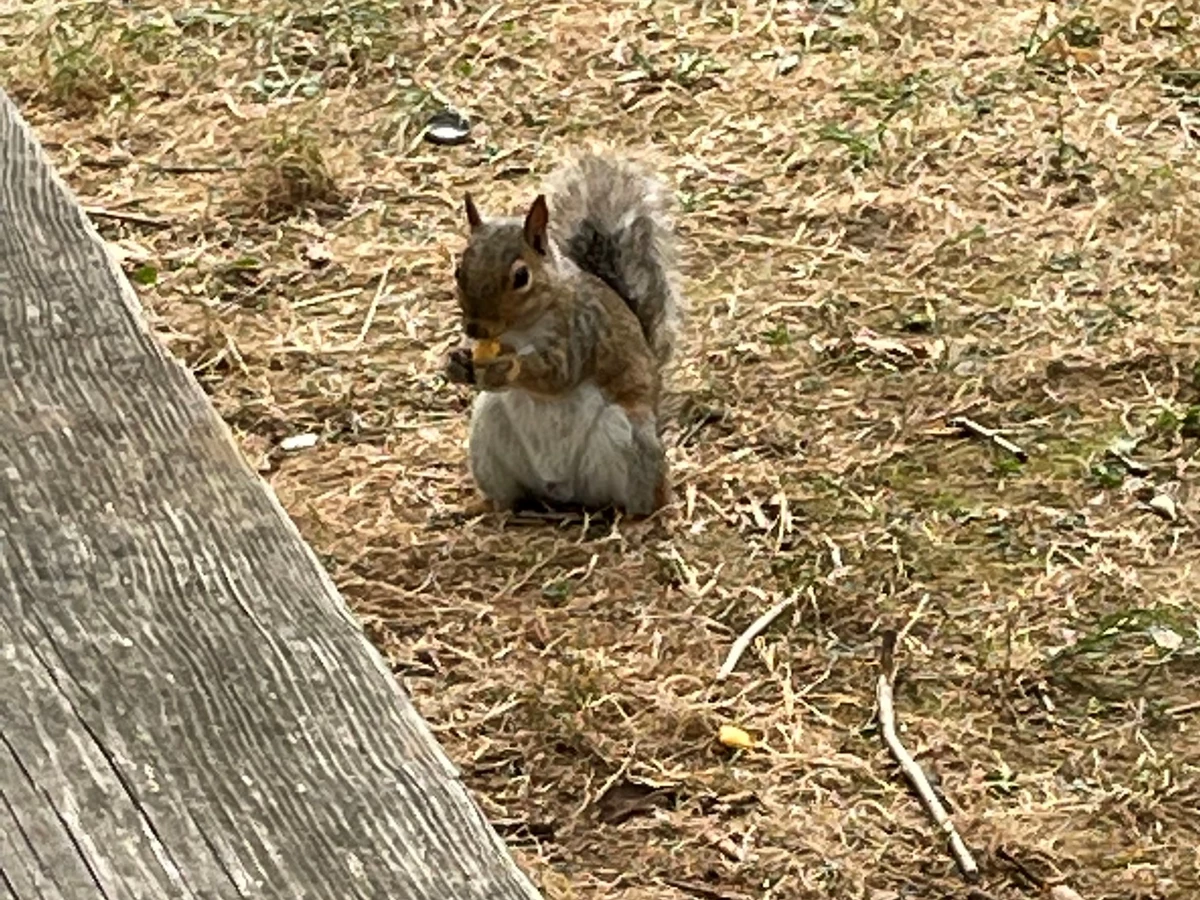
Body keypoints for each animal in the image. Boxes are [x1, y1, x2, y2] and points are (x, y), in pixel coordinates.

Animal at [441, 151, 686, 518]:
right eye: (458, 270)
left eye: (521, 276)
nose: (474, 327)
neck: (520, 330)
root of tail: (564, 491)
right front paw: (455, 361)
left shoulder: (582, 330)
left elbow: (557, 373)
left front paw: (507, 367)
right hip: (488, 433)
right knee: (507, 496)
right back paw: (484, 506)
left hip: (632, 442)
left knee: (648, 499)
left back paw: (637, 520)